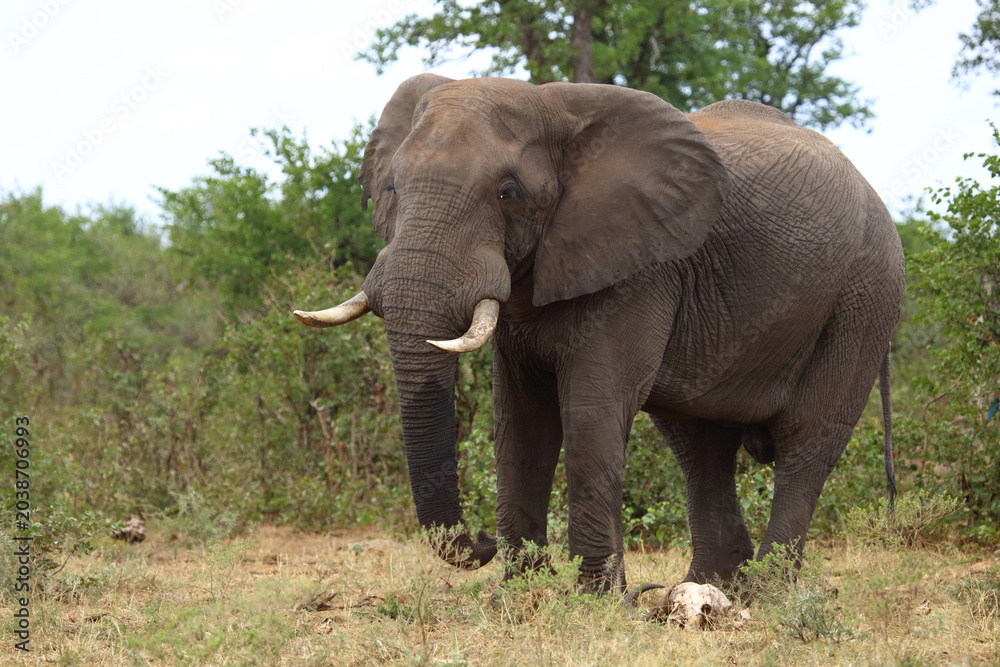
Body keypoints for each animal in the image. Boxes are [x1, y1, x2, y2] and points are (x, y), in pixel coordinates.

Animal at [294, 74, 905, 594]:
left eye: (507, 192)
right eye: (390, 188)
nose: (482, 541)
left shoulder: (640, 266)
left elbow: (591, 407)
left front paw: (594, 598)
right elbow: (520, 420)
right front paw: (524, 594)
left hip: (864, 297)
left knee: (809, 437)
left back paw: (766, 593)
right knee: (698, 442)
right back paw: (702, 589)